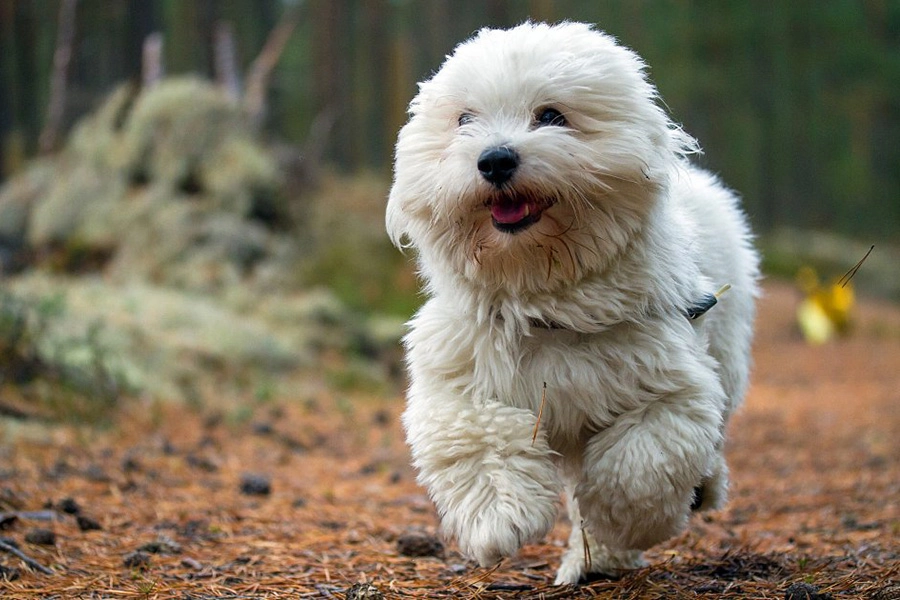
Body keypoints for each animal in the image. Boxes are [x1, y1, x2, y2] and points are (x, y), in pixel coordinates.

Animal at [386, 21, 760, 584]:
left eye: (551, 115)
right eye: (465, 120)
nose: (495, 159)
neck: (547, 301)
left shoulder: (670, 387)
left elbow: (636, 470)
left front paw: (614, 529)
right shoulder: (460, 382)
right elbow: (481, 442)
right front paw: (499, 518)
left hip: (726, 353)